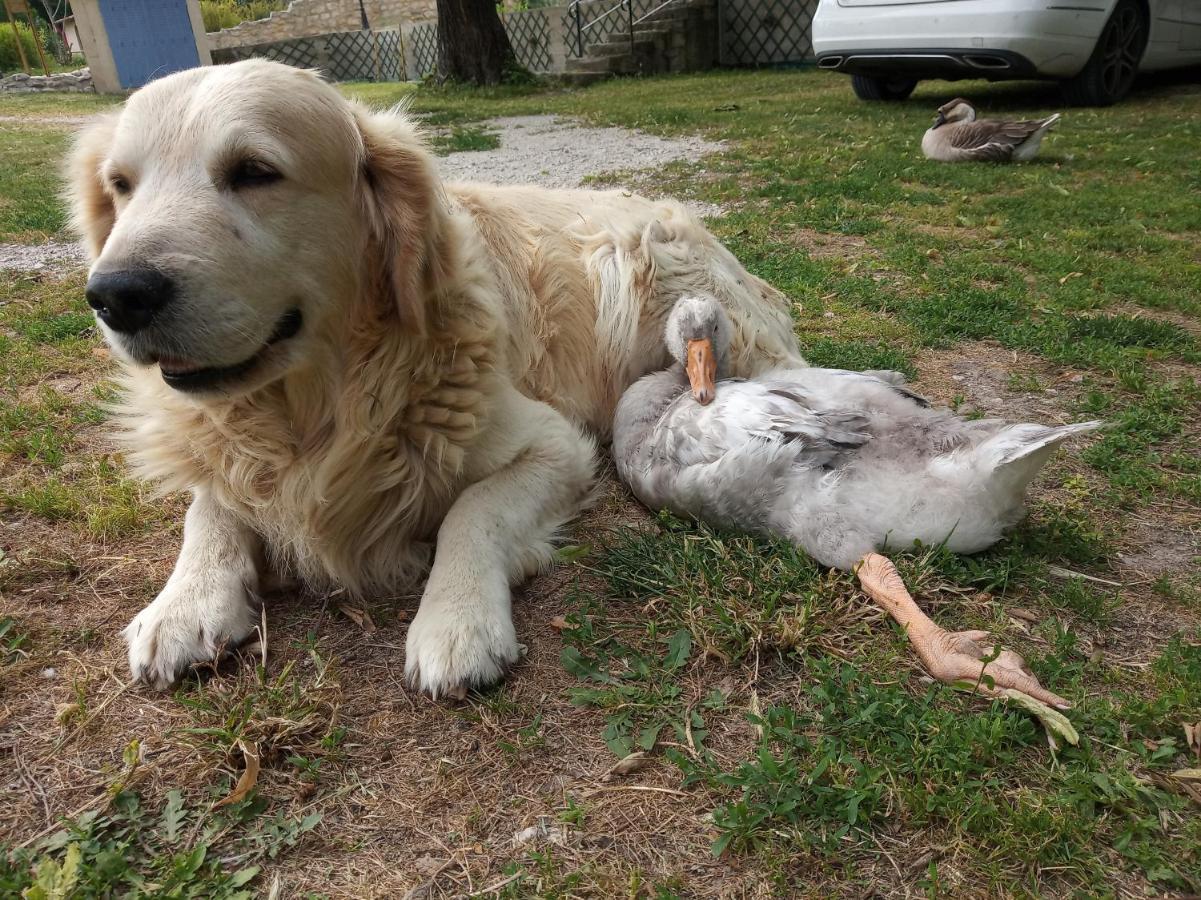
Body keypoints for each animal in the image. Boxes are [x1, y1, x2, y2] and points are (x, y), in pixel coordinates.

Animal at [63, 59, 797, 696]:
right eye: (121, 185)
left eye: (254, 172)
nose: (115, 295)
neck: (322, 405)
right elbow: (210, 506)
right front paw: (183, 604)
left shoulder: (555, 444)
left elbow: (470, 512)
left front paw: (457, 620)